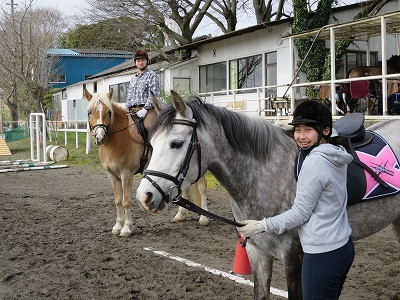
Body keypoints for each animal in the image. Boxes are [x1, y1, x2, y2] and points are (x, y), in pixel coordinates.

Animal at [85, 89, 209, 237]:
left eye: (108, 112)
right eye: (89, 112)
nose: (100, 136)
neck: (117, 139)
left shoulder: (126, 174)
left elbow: (126, 201)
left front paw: (126, 228)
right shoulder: (112, 175)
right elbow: (118, 201)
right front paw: (117, 226)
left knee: (202, 188)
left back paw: (204, 218)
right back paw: (180, 215)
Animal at [137, 91, 400, 300]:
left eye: (176, 143)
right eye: (152, 143)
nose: (144, 196)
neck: (267, 176)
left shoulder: (294, 258)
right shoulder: (258, 253)